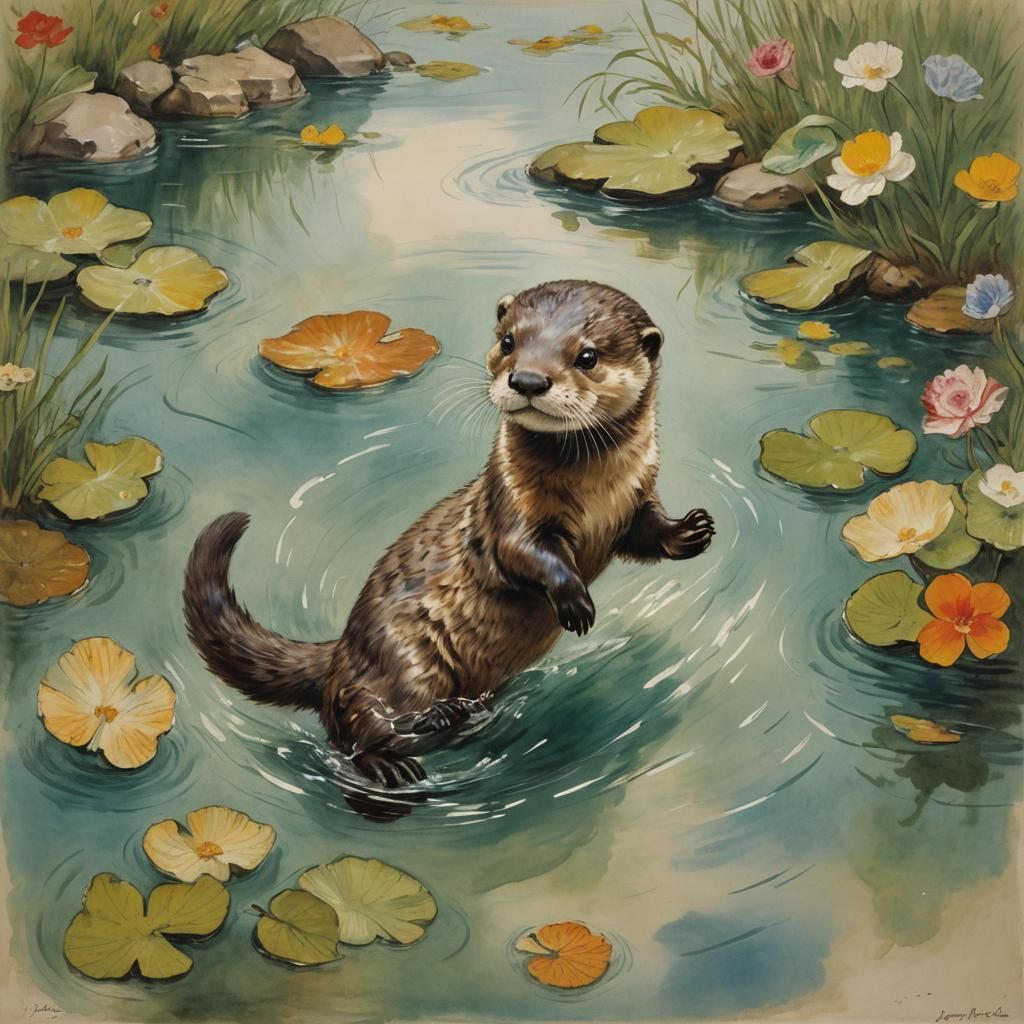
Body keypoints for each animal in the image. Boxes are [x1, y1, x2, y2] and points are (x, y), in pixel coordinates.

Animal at [184, 280, 714, 788]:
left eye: (588, 356)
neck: (596, 496)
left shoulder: (635, 500)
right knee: (350, 727)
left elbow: (646, 534)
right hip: (402, 658)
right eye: (508, 341)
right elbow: (525, 553)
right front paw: (574, 601)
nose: (527, 380)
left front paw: (692, 532)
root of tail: (339, 653)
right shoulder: (509, 509)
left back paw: (456, 716)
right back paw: (399, 753)